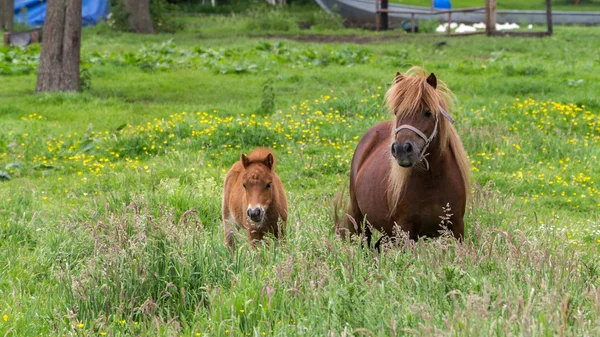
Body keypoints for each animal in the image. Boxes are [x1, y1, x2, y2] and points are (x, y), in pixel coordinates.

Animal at [338, 67, 468, 247]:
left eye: (427, 112)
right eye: (396, 111)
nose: (401, 149)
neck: (433, 179)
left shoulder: (456, 229)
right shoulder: (406, 230)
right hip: (361, 221)